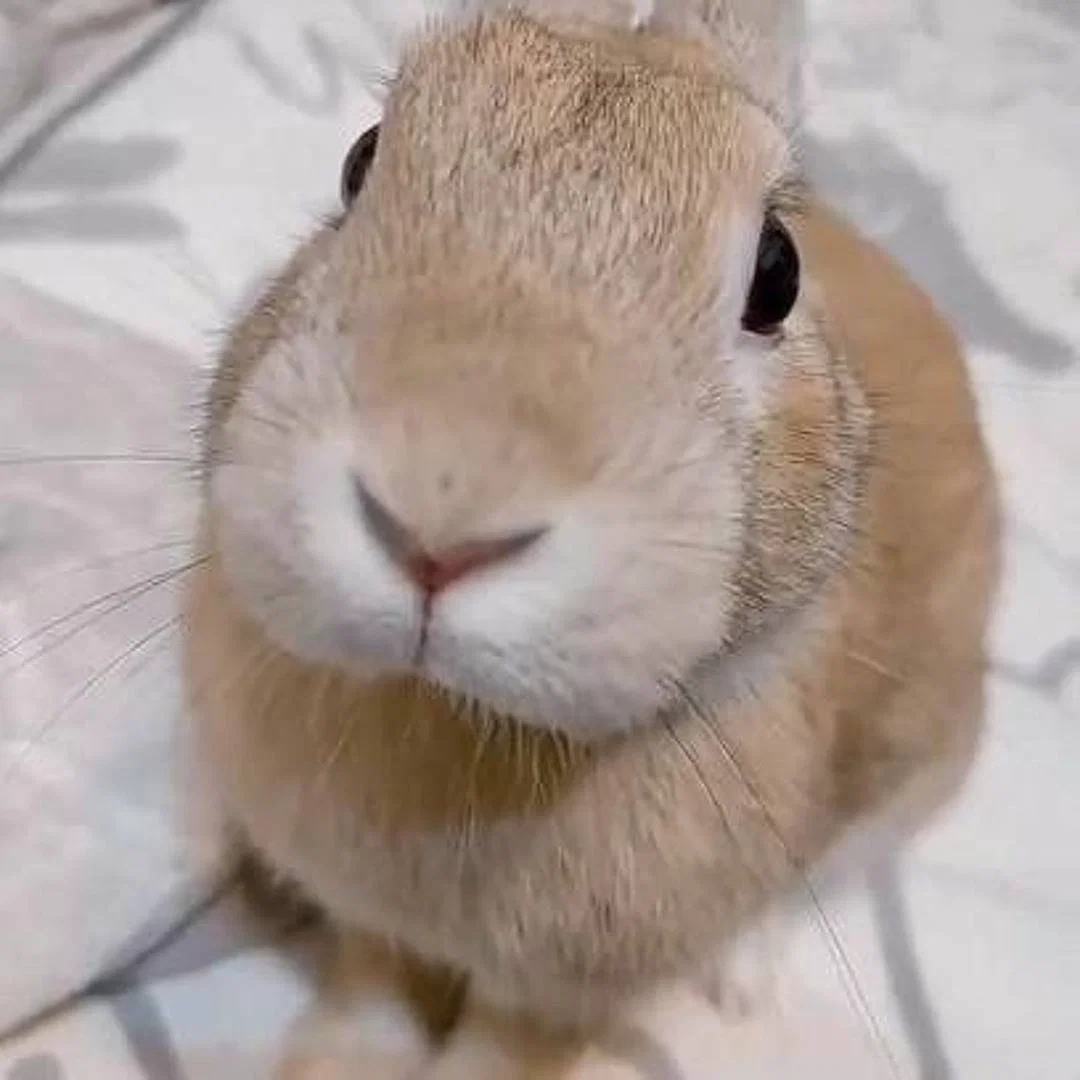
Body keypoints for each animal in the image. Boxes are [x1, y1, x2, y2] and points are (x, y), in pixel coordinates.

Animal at [182, 0, 1001, 1075]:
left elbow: (503, 1053)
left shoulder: (559, 997)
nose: (439, 525)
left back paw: (740, 981)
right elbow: (374, 990)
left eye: (777, 274)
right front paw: (327, 1062)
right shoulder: (374, 927)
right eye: (361, 161)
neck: (456, 723)